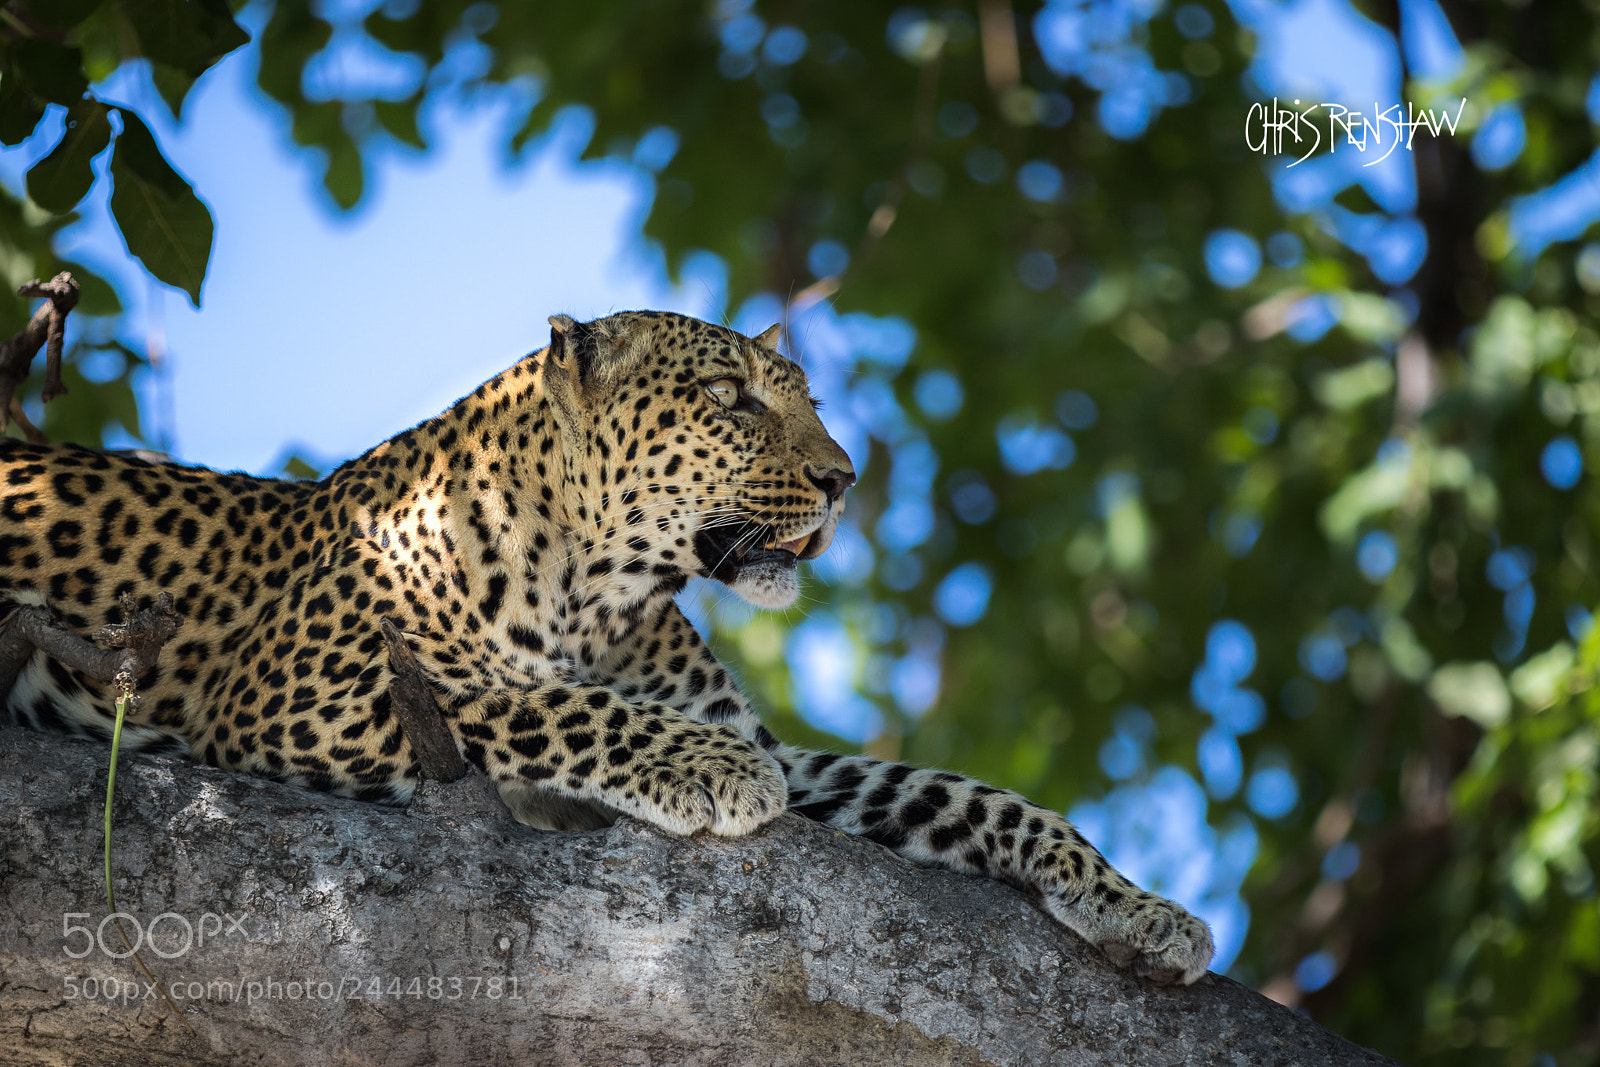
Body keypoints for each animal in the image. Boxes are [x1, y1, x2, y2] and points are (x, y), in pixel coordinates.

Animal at [0, 309, 1213, 984]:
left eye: (806, 401)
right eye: (729, 397)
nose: (844, 479)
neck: (605, 593)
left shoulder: (797, 751)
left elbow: (968, 795)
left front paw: (1136, 906)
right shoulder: (293, 692)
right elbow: (528, 698)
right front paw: (703, 767)